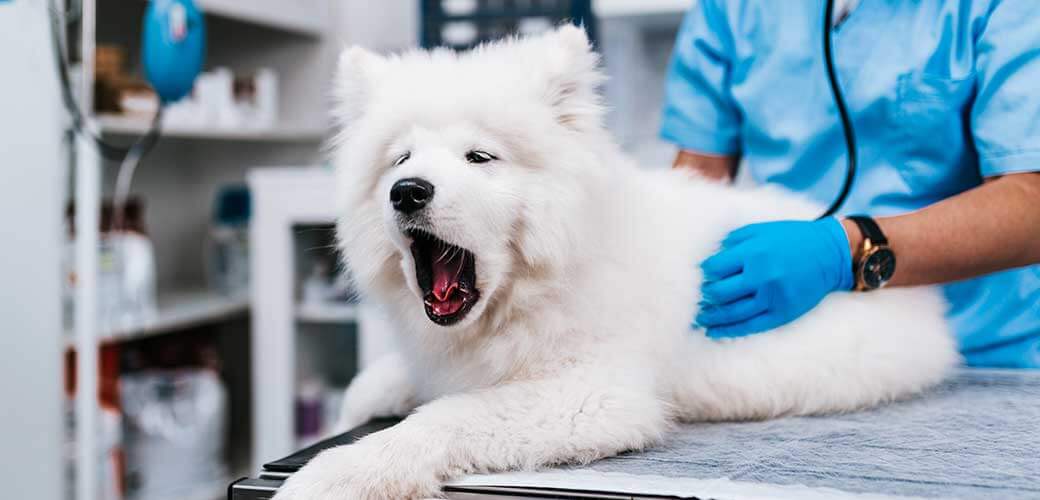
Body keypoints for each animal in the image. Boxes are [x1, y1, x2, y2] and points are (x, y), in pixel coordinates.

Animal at [274, 24, 956, 498]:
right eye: (401, 159)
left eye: (479, 157)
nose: (408, 191)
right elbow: (390, 386)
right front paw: (359, 406)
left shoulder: (593, 394)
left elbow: (446, 418)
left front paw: (339, 472)